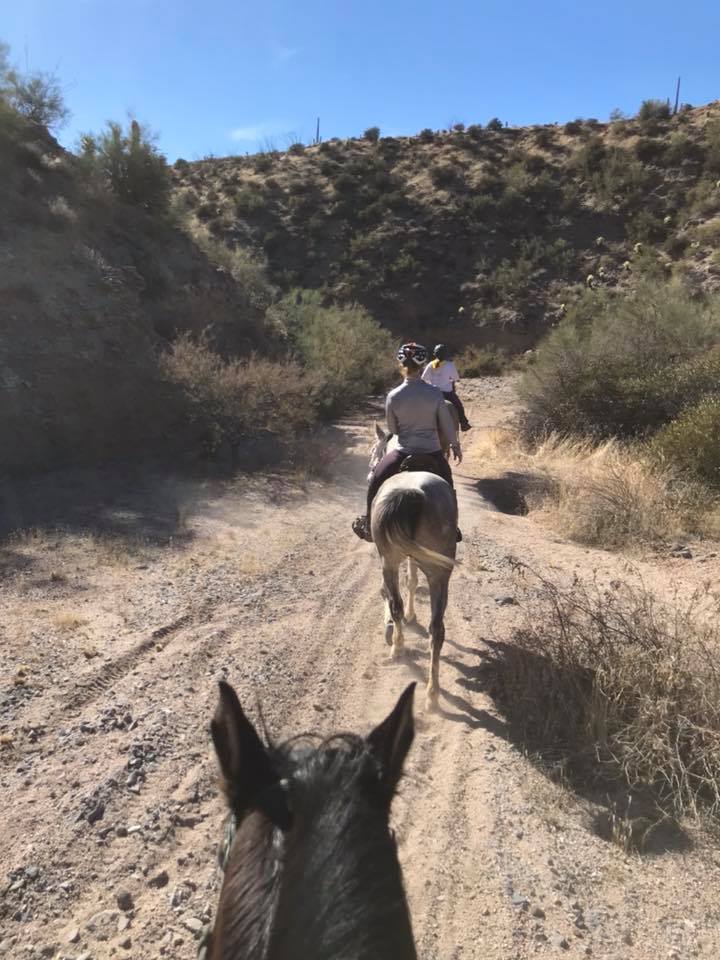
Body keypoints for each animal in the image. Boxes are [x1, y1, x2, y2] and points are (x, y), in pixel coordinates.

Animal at [367, 425, 457, 708]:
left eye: (374, 452)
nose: (370, 470)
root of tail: (412, 493)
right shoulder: (413, 555)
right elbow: (412, 580)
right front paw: (411, 615)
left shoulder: (392, 558)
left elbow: (392, 590)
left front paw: (397, 621)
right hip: (439, 573)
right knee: (436, 629)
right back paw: (432, 694)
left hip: (390, 560)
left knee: (394, 601)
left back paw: (397, 648)